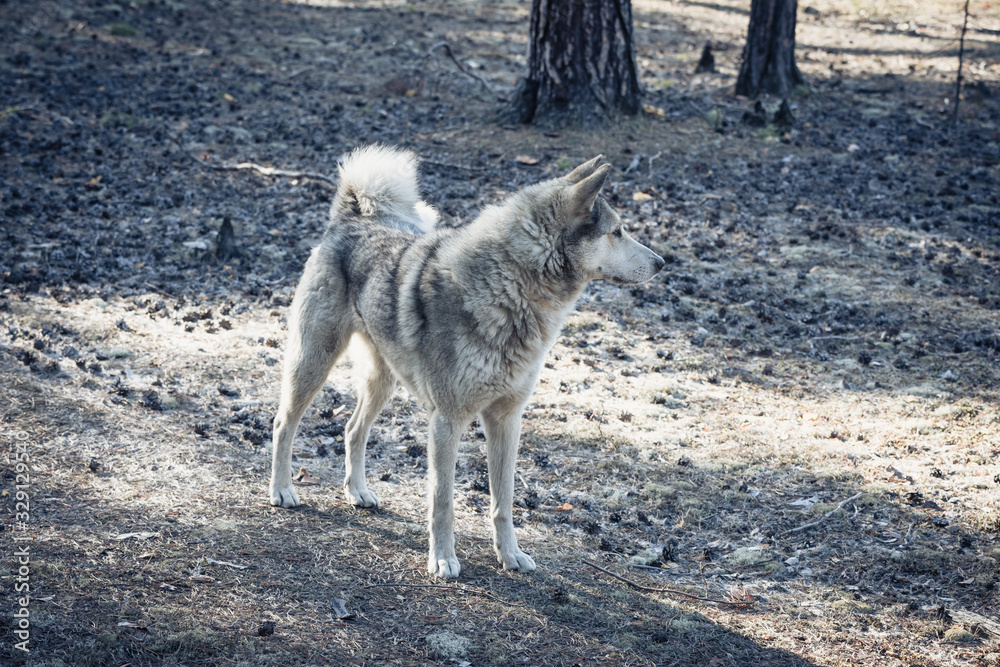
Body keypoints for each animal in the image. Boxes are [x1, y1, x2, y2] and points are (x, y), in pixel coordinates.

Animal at [272, 146, 664, 580]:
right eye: (618, 232)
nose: (662, 262)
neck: (510, 291)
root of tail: (352, 217)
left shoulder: (507, 420)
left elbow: (503, 502)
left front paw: (510, 555)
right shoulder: (448, 421)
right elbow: (442, 501)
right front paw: (443, 559)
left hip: (382, 381)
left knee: (352, 429)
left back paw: (357, 491)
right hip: (314, 362)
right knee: (283, 423)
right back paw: (282, 490)